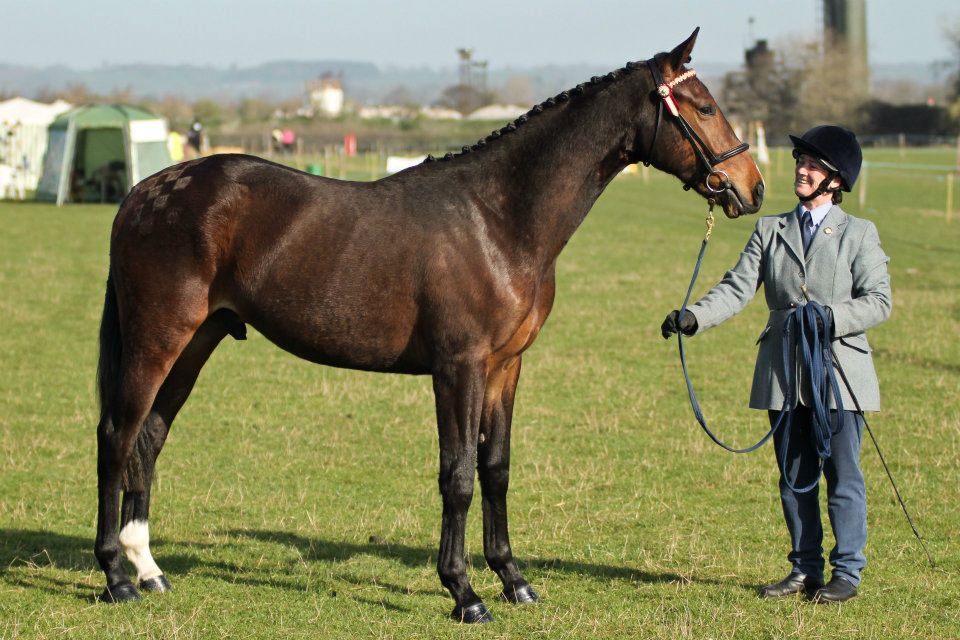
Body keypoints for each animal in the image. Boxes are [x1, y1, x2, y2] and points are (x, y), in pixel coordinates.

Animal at [92, 27, 764, 624]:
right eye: (704, 108)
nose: (752, 189)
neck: (498, 218)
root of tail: (143, 192)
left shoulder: (505, 367)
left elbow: (496, 468)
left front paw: (514, 580)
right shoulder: (458, 368)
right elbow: (459, 475)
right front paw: (464, 594)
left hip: (196, 341)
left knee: (149, 437)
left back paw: (148, 569)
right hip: (157, 340)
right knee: (116, 436)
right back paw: (116, 577)